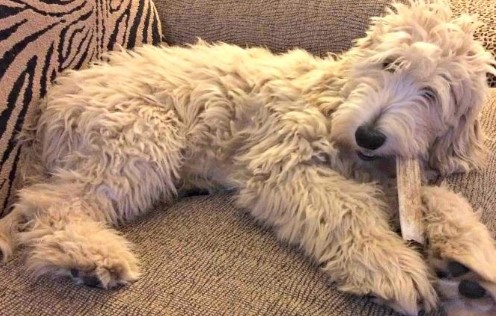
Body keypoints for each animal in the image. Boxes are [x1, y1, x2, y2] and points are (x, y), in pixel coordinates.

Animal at [0, 0, 496, 316]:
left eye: (432, 93)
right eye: (389, 63)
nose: (369, 135)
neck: (333, 102)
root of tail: (48, 108)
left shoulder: (395, 172)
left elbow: (441, 199)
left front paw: (469, 262)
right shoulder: (281, 165)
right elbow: (348, 210)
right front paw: (389, 264)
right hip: (141, 140)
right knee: (47, 206)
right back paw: (89, 256)